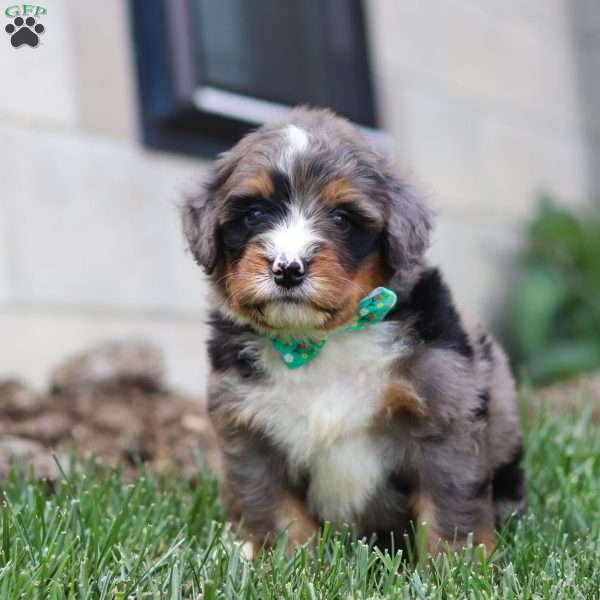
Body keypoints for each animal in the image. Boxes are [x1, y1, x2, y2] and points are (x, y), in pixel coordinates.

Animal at [183, 106, 524, 556]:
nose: (287, 268)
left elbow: (449, 509)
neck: (321, 340)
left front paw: (457, 565)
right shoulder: (250, 432)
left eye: (342, 219)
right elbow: (276, 512)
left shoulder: (443, 416)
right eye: (254, 214)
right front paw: (289, 562)